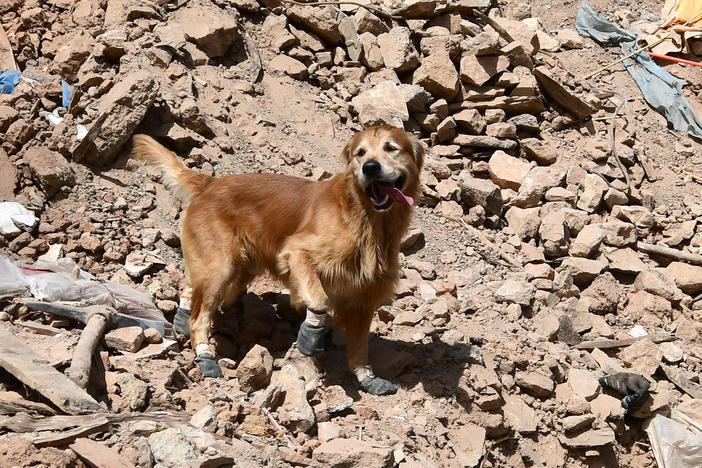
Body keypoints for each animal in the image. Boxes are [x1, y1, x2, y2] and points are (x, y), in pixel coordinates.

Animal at [135, 126, 426, 394]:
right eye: (360, 153)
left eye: (391, 148)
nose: (370, 167)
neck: (366, 218)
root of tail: (211, 183)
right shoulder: (296, 251)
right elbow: (319, 298)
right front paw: (310, 334)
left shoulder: (363, 297)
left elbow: (359, 348)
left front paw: (366, 377)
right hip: (223, 267)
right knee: (200, 317)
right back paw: (205, 356)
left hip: (237, 268)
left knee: (192, 285)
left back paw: (182, 316)